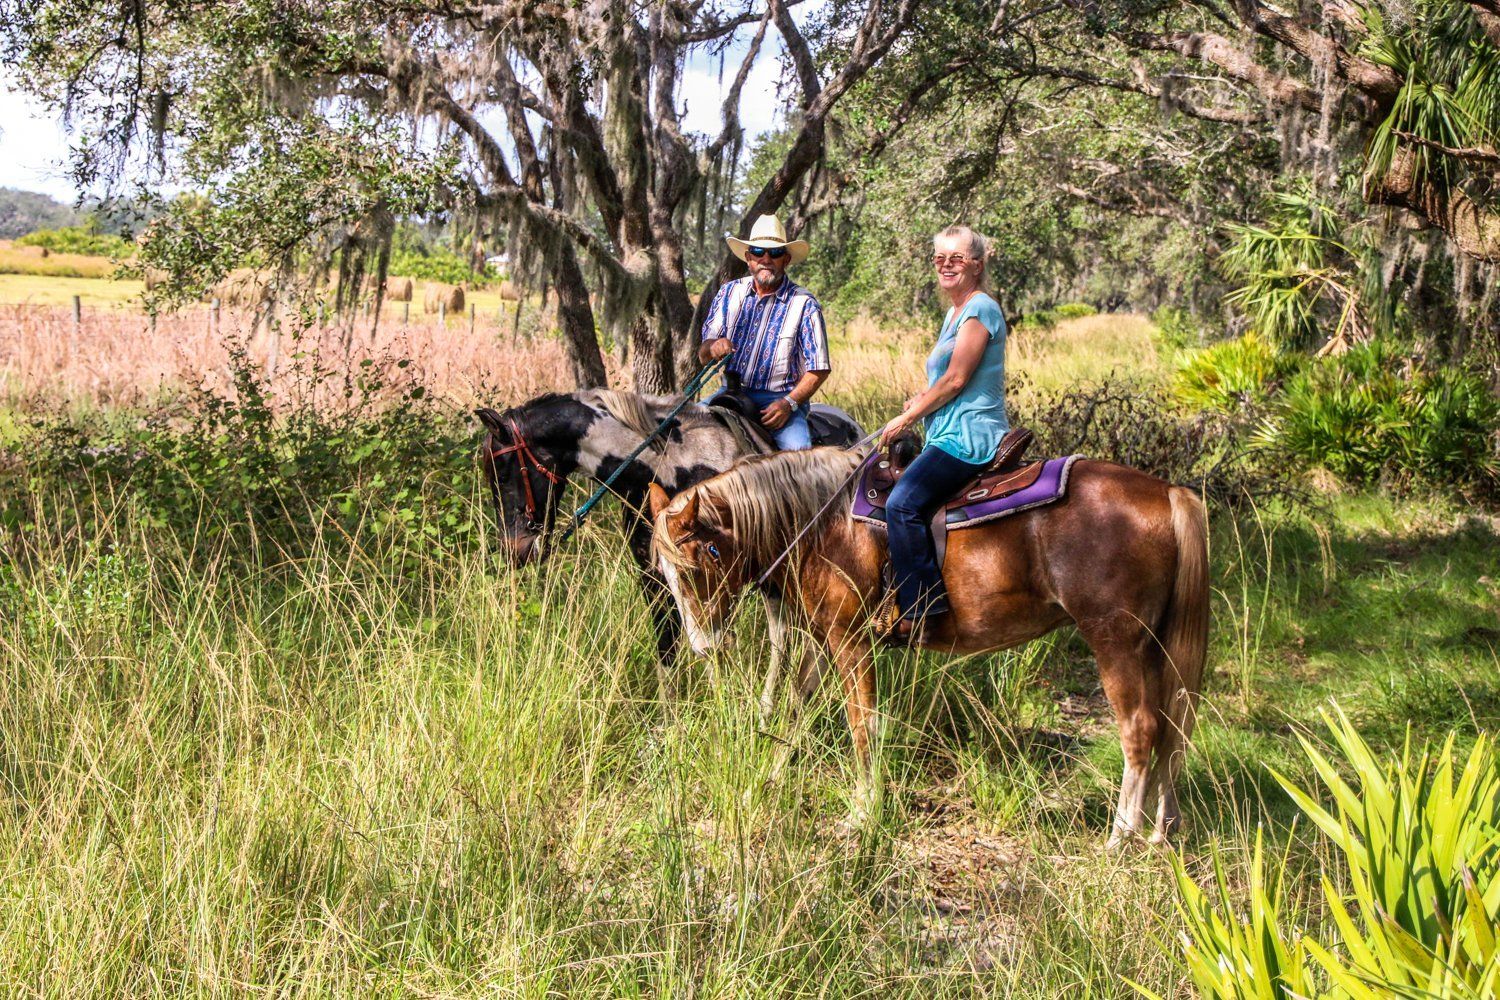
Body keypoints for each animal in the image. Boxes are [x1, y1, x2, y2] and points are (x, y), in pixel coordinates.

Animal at [475, 389, 862, 700]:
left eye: (504, 472)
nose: (515, 550)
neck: (666, 467)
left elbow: (716, 647)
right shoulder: (655, 577)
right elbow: (668, 648)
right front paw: (670, 730)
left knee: (782, 643)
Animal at [647, 447, 1209, 846]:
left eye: (700, 562)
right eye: (666, 575)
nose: (702, 647)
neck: (823, 523)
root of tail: (1168, 492)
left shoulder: (851, 643)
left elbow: (863, 724)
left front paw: (862, 812)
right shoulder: (822, 642)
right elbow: (795, 709)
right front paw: (765, 780)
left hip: (1115, 640)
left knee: (1140, 729)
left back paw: (1121, 837)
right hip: (1153, 646)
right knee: (1172, 725)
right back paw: (1162, 830)